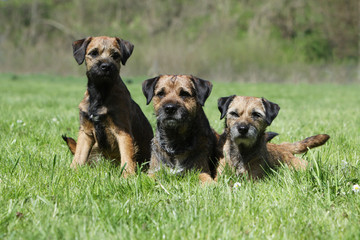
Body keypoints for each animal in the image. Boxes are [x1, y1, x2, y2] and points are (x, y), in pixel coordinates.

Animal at [62, 35, 153, 176]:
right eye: (94, 53)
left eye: (115, 55)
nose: (106, 66)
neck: (100, 93)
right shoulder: (86, 132)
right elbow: (79, 156)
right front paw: (72, 172)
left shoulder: (123, 132)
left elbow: (127, 158)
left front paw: (127, 176)